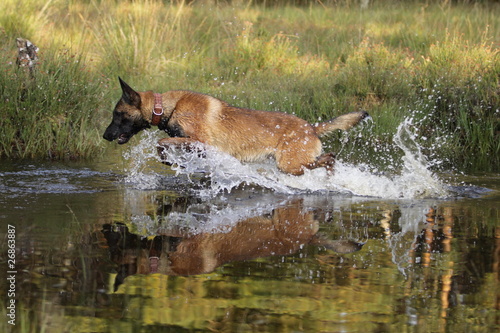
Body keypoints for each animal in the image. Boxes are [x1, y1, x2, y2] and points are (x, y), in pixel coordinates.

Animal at [102, 77, 368, 175]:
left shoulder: (200, 141)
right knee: (327, 159)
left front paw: (169, 159)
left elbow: (161, 142)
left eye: (117, 114)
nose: (105, 136)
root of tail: (311, 127)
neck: (168, 107)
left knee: (328, 158)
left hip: (289, 164)